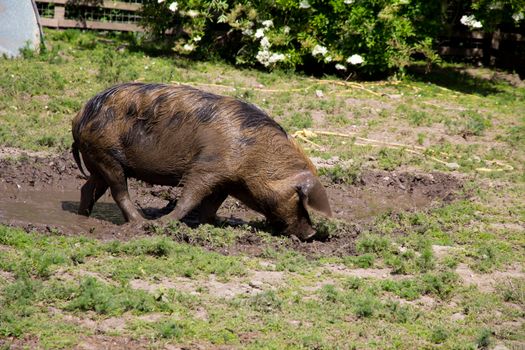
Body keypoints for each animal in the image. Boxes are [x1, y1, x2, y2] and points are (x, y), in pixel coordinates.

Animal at [71, 82, 330, 241]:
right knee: (119, 191)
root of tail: (80, 114)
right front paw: (164, 223)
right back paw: (140, 222)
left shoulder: (226, 182)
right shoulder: (207, 167)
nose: (311, 233)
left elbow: (211, 205)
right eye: (298, 197)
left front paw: (212, 224)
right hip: (106, 155)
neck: (252, 154)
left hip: (98, 159)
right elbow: (190, 197)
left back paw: (83, 216)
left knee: (89, 187)